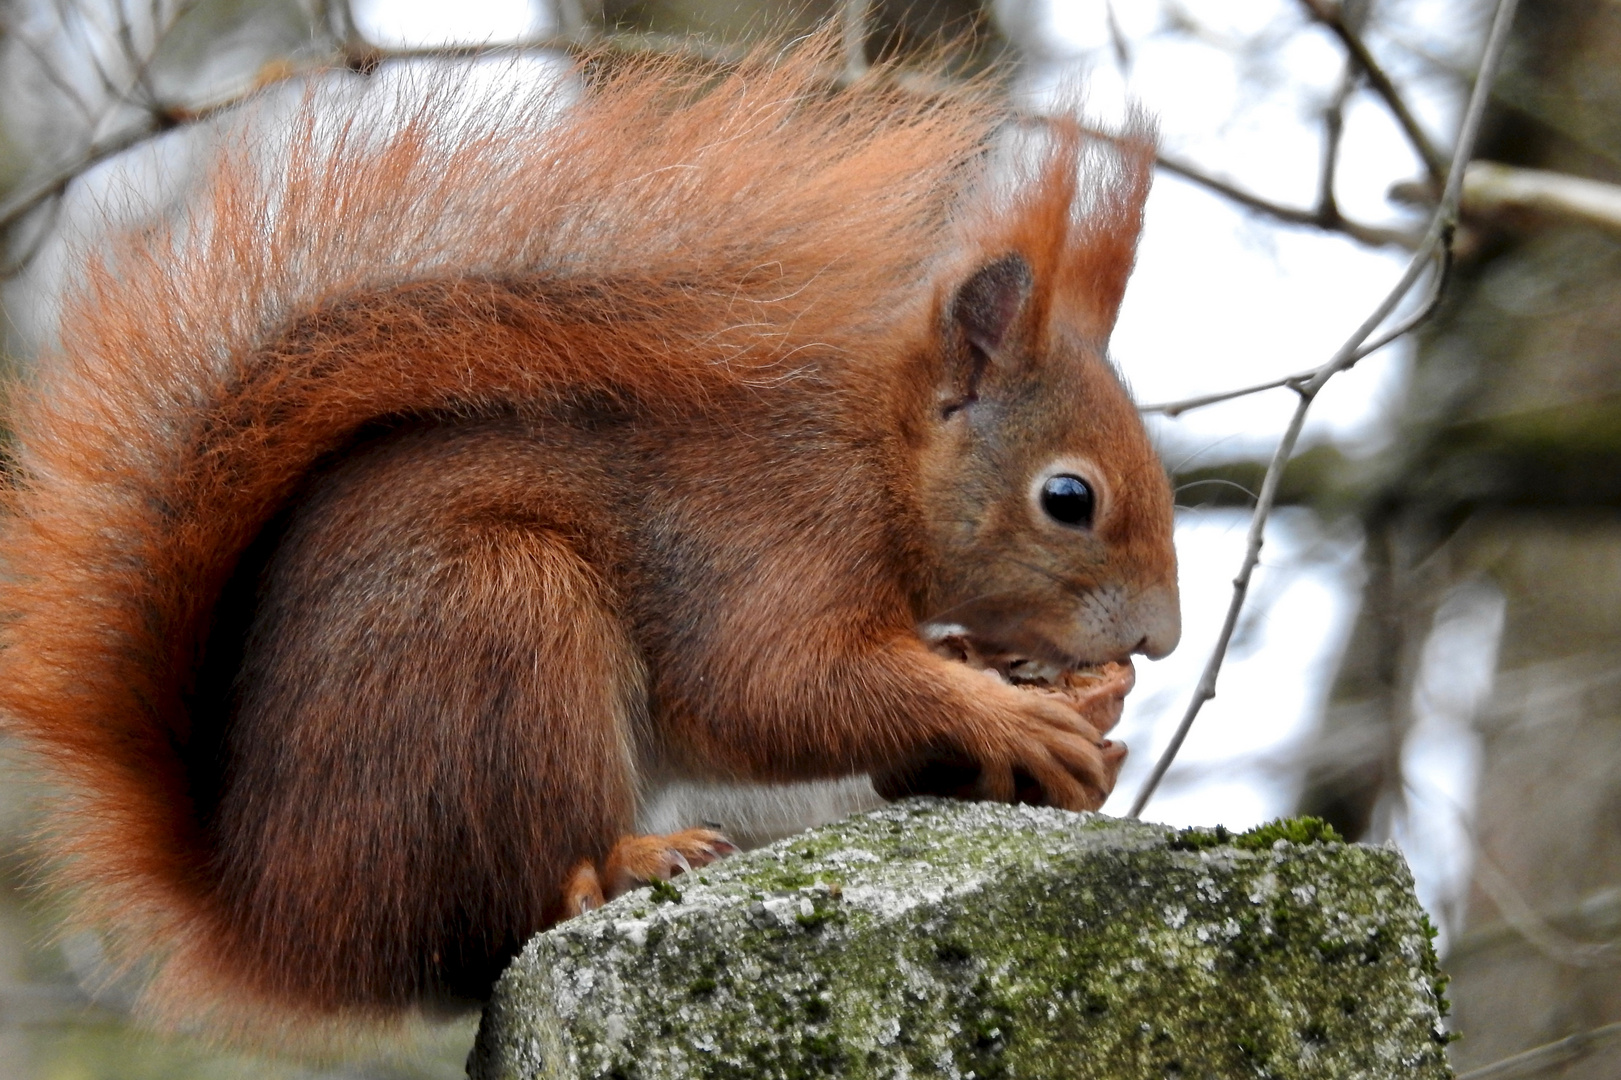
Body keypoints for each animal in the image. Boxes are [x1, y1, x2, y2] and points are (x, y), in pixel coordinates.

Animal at [0, 44, 1180, 1037]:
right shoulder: (774, 533)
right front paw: (1006, 713)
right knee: (499, 907)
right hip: (499, 623)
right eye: (1067, 498)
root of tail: (275, 916)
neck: (878, 460)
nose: (1161, 641)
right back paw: (616, 866)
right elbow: (772, 687)